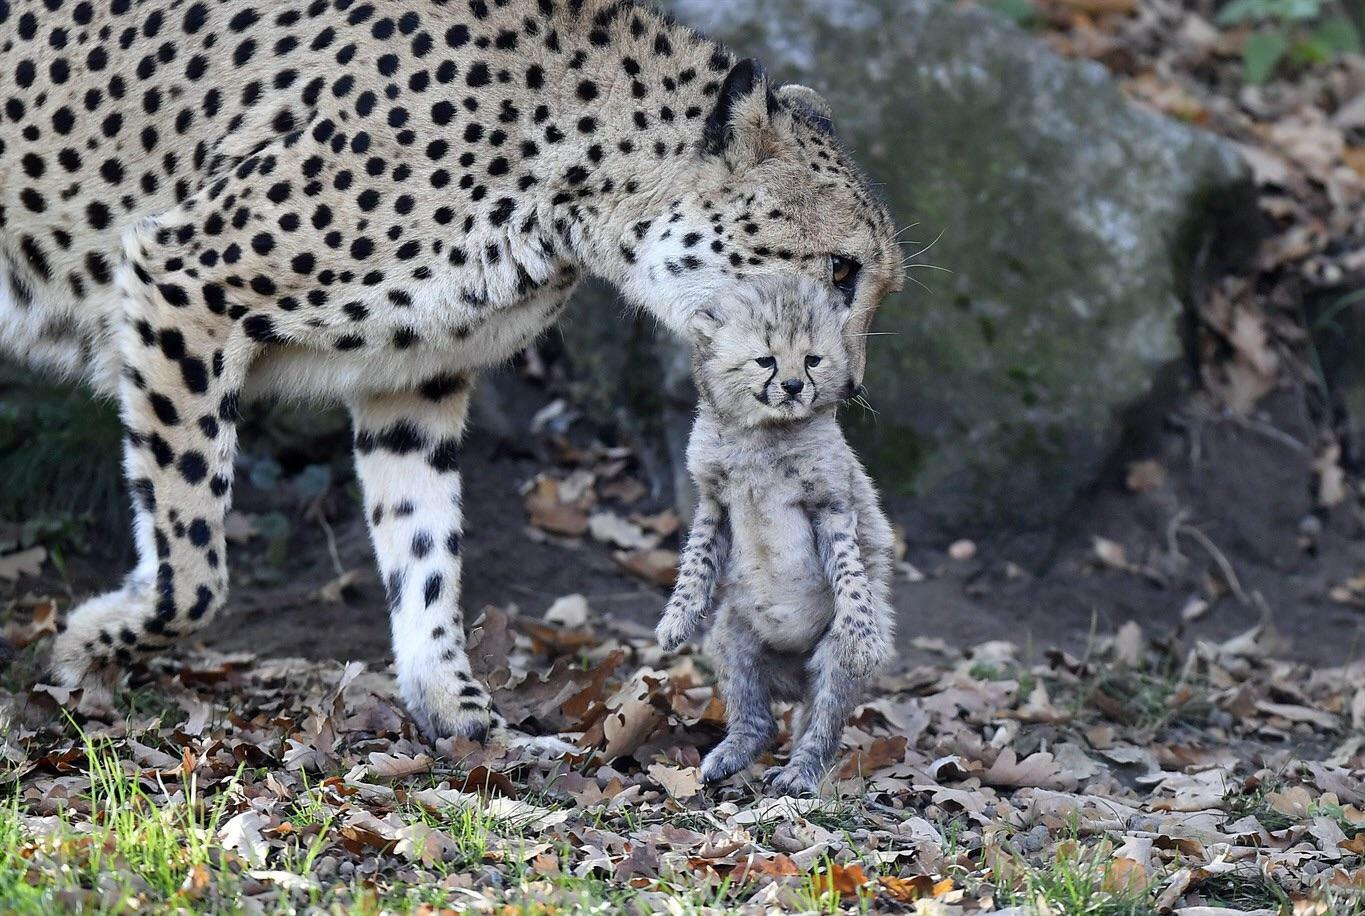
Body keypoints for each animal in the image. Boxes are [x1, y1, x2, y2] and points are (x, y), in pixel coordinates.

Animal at [0, 0, 906, 737]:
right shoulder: (182, 280)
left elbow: (425, 546)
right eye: (839, 271)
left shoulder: (409, 374)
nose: (850, 385)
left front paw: (457, 711)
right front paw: (86, 644)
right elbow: (190, 564)